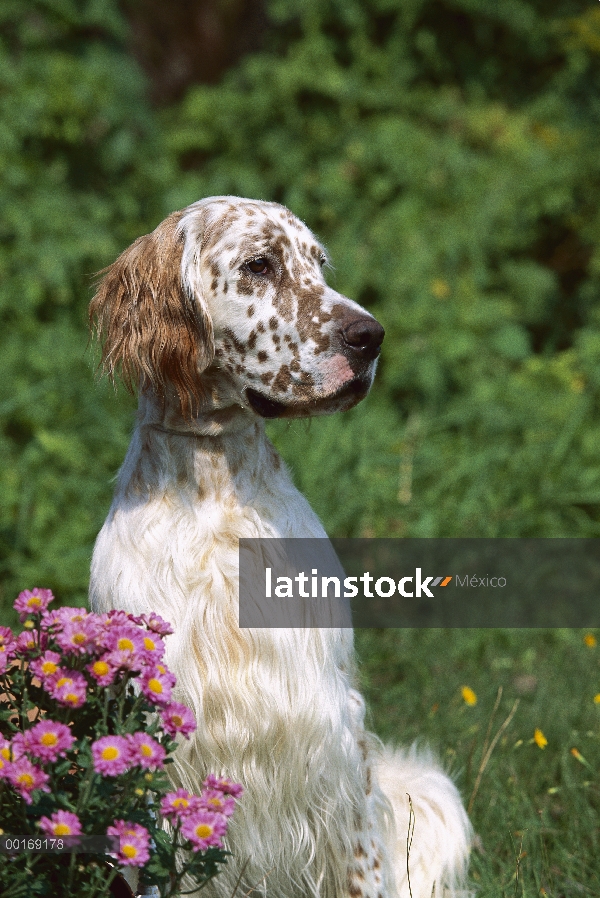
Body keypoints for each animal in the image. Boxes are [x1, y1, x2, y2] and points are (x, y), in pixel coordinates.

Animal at [90, 196, 474, 896]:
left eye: (317, 264)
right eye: (260, 265)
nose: (370, 336)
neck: (214, 489)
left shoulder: (333, 725)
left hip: (426, 790)